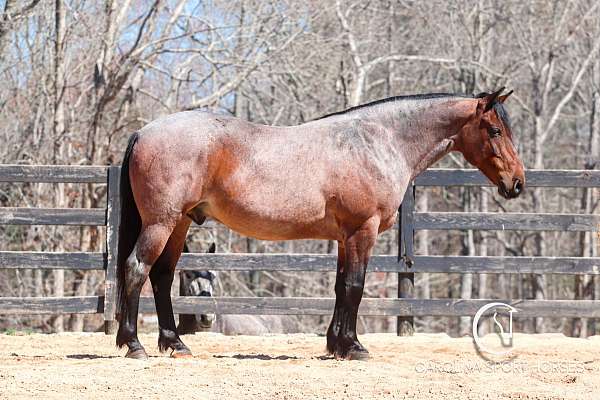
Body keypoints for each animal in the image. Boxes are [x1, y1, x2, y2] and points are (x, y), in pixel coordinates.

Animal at [116, 86, 524, 360]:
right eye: (495, 131)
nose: (517, 183)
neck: (376, 142)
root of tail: (143, 132)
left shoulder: (345, 237)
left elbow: (341, 287)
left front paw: (336, 344)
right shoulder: (363, 231)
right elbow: (356, 286)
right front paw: (354, 347)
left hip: (180, 224)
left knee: (162, 276)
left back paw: (174, 343)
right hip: (161, 223)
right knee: (137, 268)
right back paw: (134, 344)